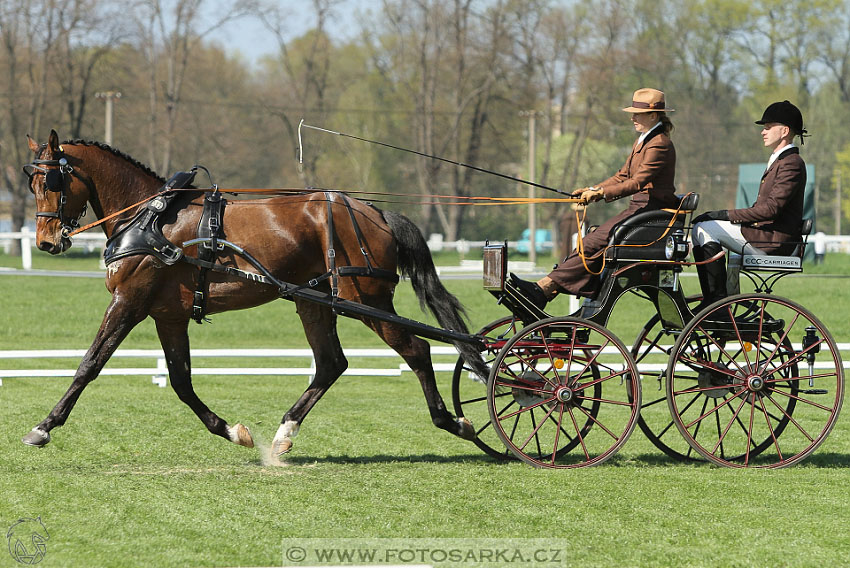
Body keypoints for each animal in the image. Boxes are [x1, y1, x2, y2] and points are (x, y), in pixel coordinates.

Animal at [21, 131, 484, 460]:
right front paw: (233, 432)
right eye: (33, 183)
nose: (45, 242)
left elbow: (89, 365)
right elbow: (181, 382)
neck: (149, 218)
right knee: (331, 363)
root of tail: (376, 212)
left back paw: (453, 422)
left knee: (416, 350)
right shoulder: (168, 316)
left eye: (53, 180)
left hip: (367, 302)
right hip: (313, 303)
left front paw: (43, 427)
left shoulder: (128, 303)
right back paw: (283, 434)